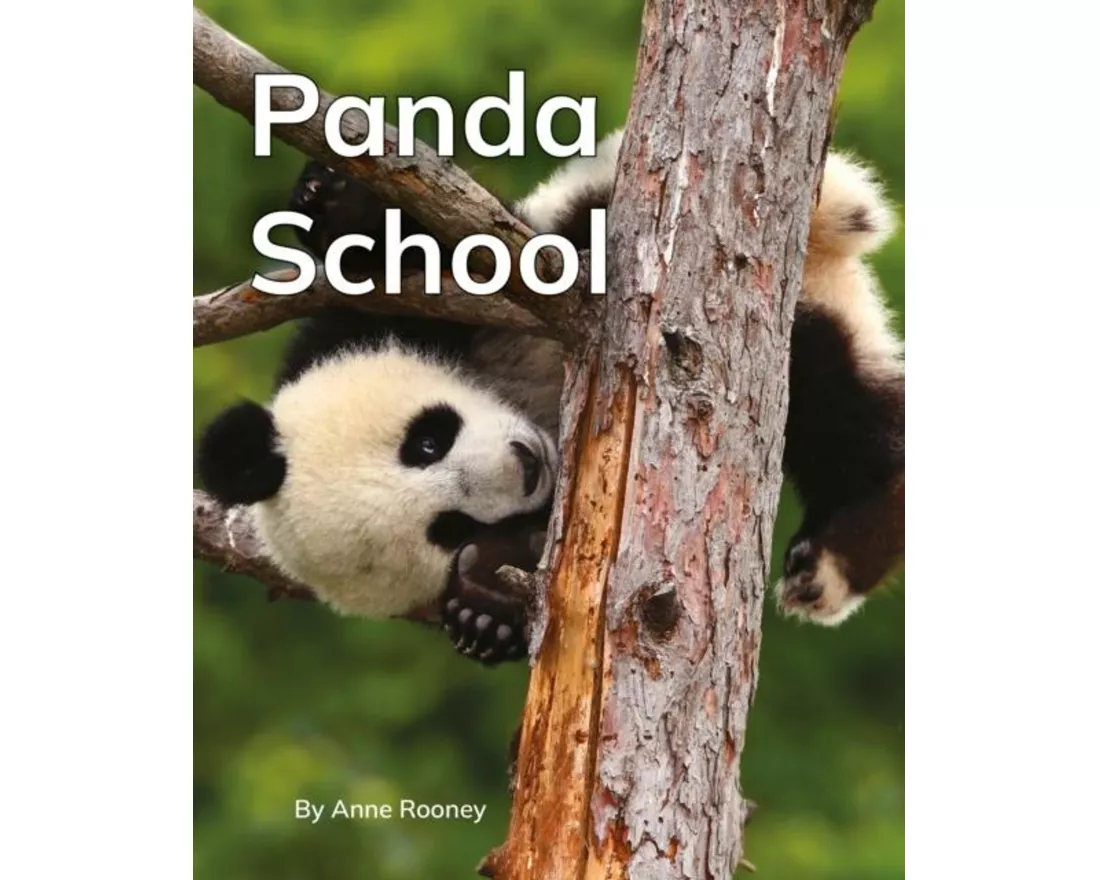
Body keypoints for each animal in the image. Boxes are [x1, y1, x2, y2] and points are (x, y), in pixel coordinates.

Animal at [197, 129, 904, 662]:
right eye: (448, 527)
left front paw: (332, 199)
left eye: (426, 440)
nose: (525, 468)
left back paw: (840, 551)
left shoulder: (386, 314)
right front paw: (489, 610)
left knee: (833, 409)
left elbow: (425, 248)